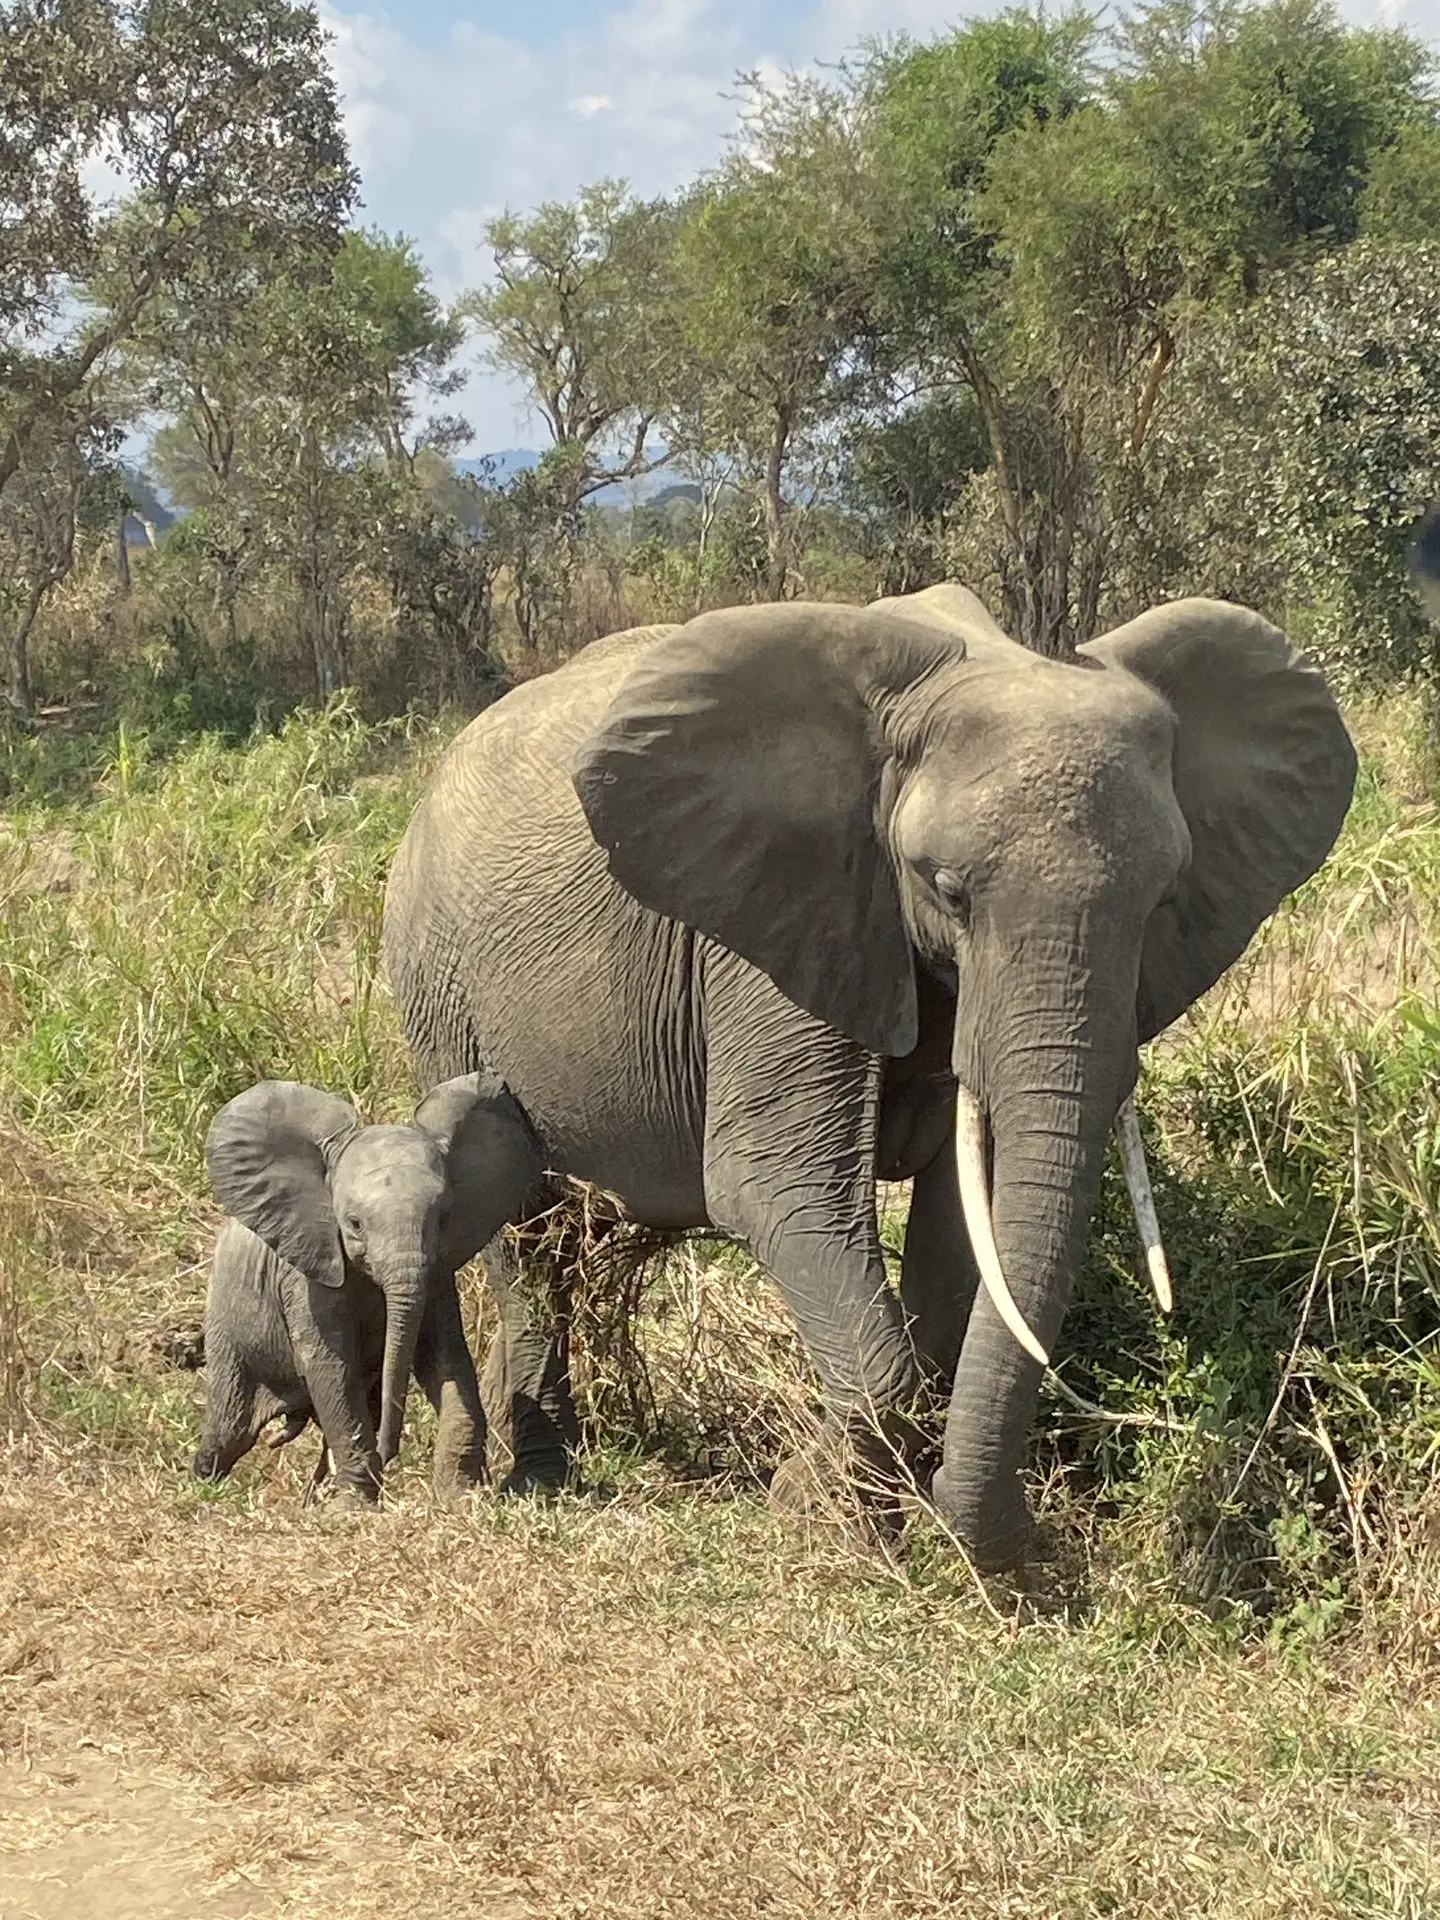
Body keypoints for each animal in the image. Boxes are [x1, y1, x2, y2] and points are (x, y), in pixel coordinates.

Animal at [194, 1075, 545, 1505]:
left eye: (444, 1218)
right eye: (354, 1223)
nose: (387, 1451)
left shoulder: (436, 1272)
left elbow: (446, 1358)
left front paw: (459, 1497)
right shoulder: (306, 1279)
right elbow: (331, 1367)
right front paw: (351, 1507)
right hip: (229, 1319)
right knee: (230, 1428)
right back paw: (204, 1484)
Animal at [380, 587, 1351, 1574]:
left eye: (1163, 901)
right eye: (948, 890)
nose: (1012, 1547)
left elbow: (963, 1226)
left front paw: (854, 1508)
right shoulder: (780, 925)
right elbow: (779, 1190)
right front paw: (817, 1517)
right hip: (438, 985)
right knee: (521, 1236)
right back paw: (542, 1475)